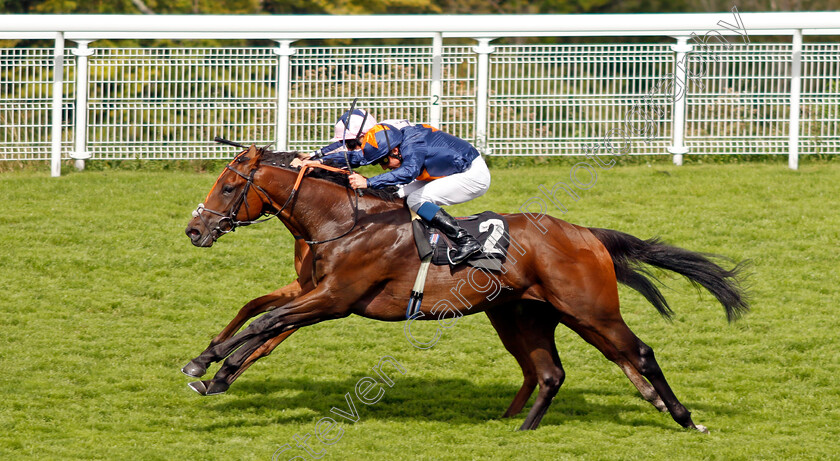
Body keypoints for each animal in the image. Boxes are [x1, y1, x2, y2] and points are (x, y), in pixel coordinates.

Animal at [184, 145, 748, 432]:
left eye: (229, 186)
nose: (194, 229)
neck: (345, 221)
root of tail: (587, 234)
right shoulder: (312, 291)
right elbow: (259, 316)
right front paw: (213, 369)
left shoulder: (333, 299)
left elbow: (265, 324)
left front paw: (207, 366)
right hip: (531, 315)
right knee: (554, 371)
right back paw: (519, 429)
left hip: (590, 309)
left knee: (639, 353)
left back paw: (684, 418)